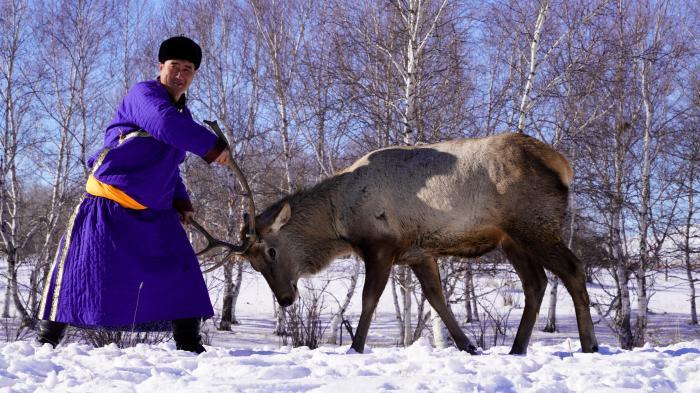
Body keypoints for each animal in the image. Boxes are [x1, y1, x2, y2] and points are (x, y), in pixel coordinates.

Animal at [194, 126, 600, 356]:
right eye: (253, 263)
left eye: (272, 251)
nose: (285, 299)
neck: (339, 220)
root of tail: (562, 164)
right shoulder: (418, 252)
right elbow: (437, 299)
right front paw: (468, 346)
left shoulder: (382, 245)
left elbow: (369, 299)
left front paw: (355, 347)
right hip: (512, 238)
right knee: (537, 283)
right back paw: (517, 349)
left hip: (534, 224)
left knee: (573, 269)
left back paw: (589, 345)